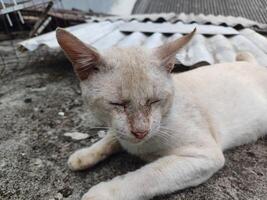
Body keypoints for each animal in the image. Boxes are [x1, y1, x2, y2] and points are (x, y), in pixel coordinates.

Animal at [56, 27, 267, 200]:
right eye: (118, 104)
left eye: (154, 101)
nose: (141, 132)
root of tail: (254, 64)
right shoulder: (119, 131)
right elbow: (110, 139)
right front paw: (84, 155)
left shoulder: (204, 155)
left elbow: (147, 176)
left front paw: (103, 192)